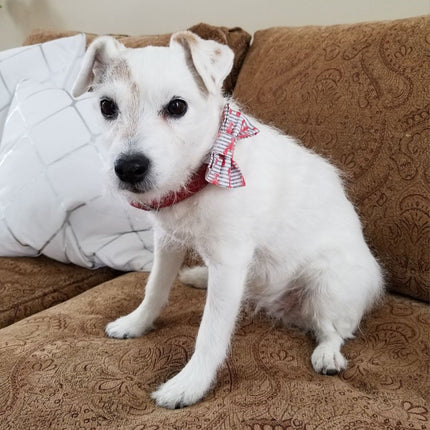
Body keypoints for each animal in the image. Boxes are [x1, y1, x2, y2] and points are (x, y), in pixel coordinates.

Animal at [72, 31, 384, 410]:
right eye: (107, 107)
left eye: (177, 107)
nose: (129, 168)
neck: (204, 171)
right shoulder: (168, 243)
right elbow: (155, 288)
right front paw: (137, 322)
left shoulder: (230, 262)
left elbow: (211, 332)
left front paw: (189, 384)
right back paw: (197, 276)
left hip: (328, 286)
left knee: (334, 330)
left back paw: (328, 354)